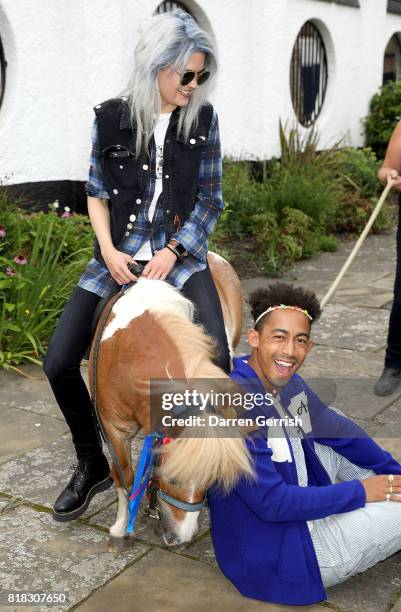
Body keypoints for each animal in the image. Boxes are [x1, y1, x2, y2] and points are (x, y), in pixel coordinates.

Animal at [88, 252, 253, 544]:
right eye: (173, 479)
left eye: (208, 481)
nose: (182, 539)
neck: (127, 358)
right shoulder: (113, 430)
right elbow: (124, 476)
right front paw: (121, 526)